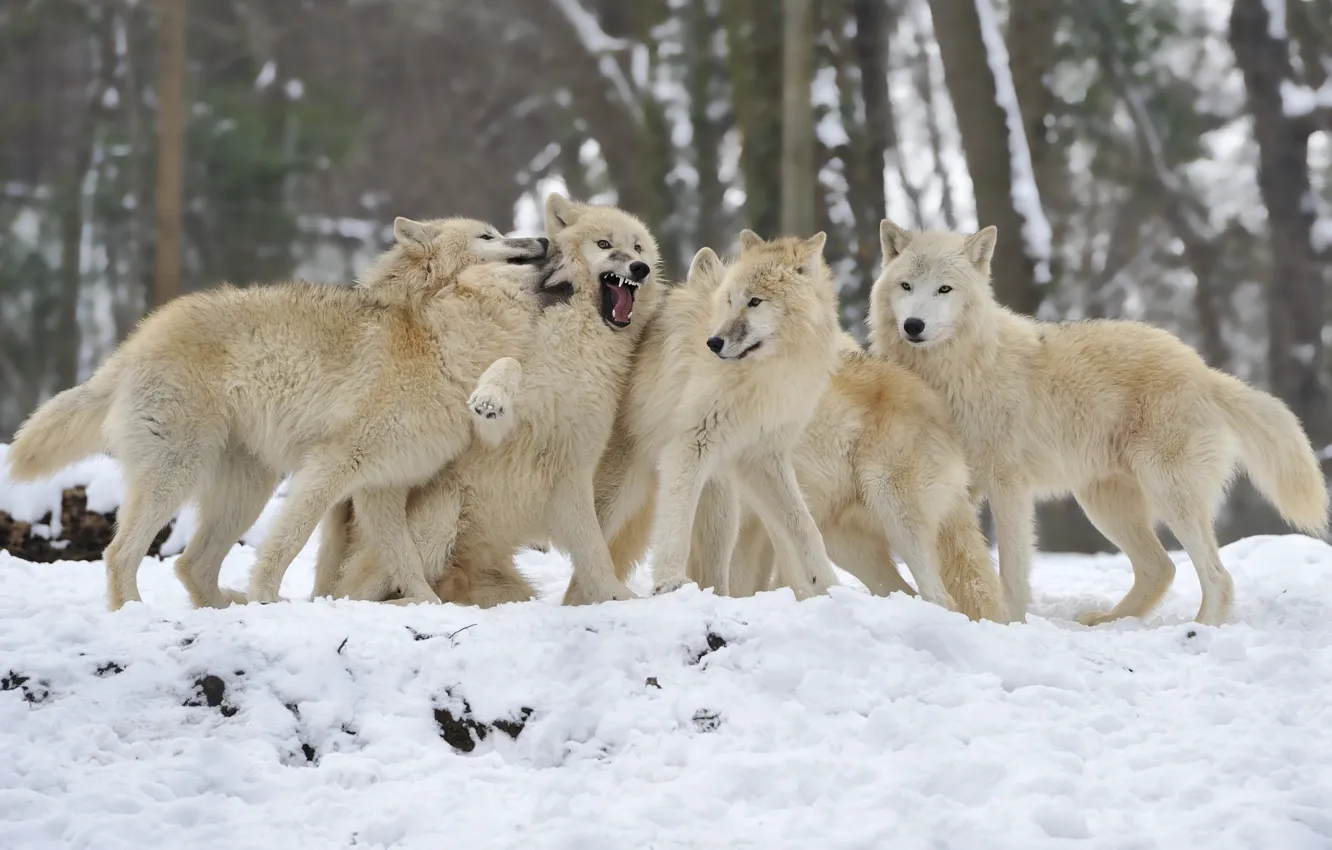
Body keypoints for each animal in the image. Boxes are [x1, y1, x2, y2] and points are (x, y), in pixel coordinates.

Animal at [5, 215, 546, 610]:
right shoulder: (332, 466)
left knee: (190, 565)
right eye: (489, 236)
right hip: (177, 475)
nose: (542, 239)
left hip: (246, 491)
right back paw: (138, 615)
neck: (434, 340)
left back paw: (224, 609)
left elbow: (406, 560)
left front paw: (428, 606)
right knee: (120, 554)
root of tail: (134, 342)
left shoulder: (382, 488)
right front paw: (267, 597)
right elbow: (289, 542)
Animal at [594, 233, 841, 602]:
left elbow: (804, 526)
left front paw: (829, 586)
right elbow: (676, 521)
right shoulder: (691, 444)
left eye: (755, 301)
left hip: (723, 510)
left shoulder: (764, 458)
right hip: (614, 496)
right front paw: (669, 582)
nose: (713, 342)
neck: (766, 375)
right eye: (729, 300)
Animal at [868, 219, 1326, 626]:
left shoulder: (1007, 485)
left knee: (1217, 575)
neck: (956, 371)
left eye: (944, 289)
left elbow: (1011, 570)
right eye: (906, 286)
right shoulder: (956, 487)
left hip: (1167, 494)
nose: (913, 325)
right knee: (1161, 567)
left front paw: (1009, 623)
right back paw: (1109, 621)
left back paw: (1200, 629)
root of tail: (1204, 370)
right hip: (1104, 505)